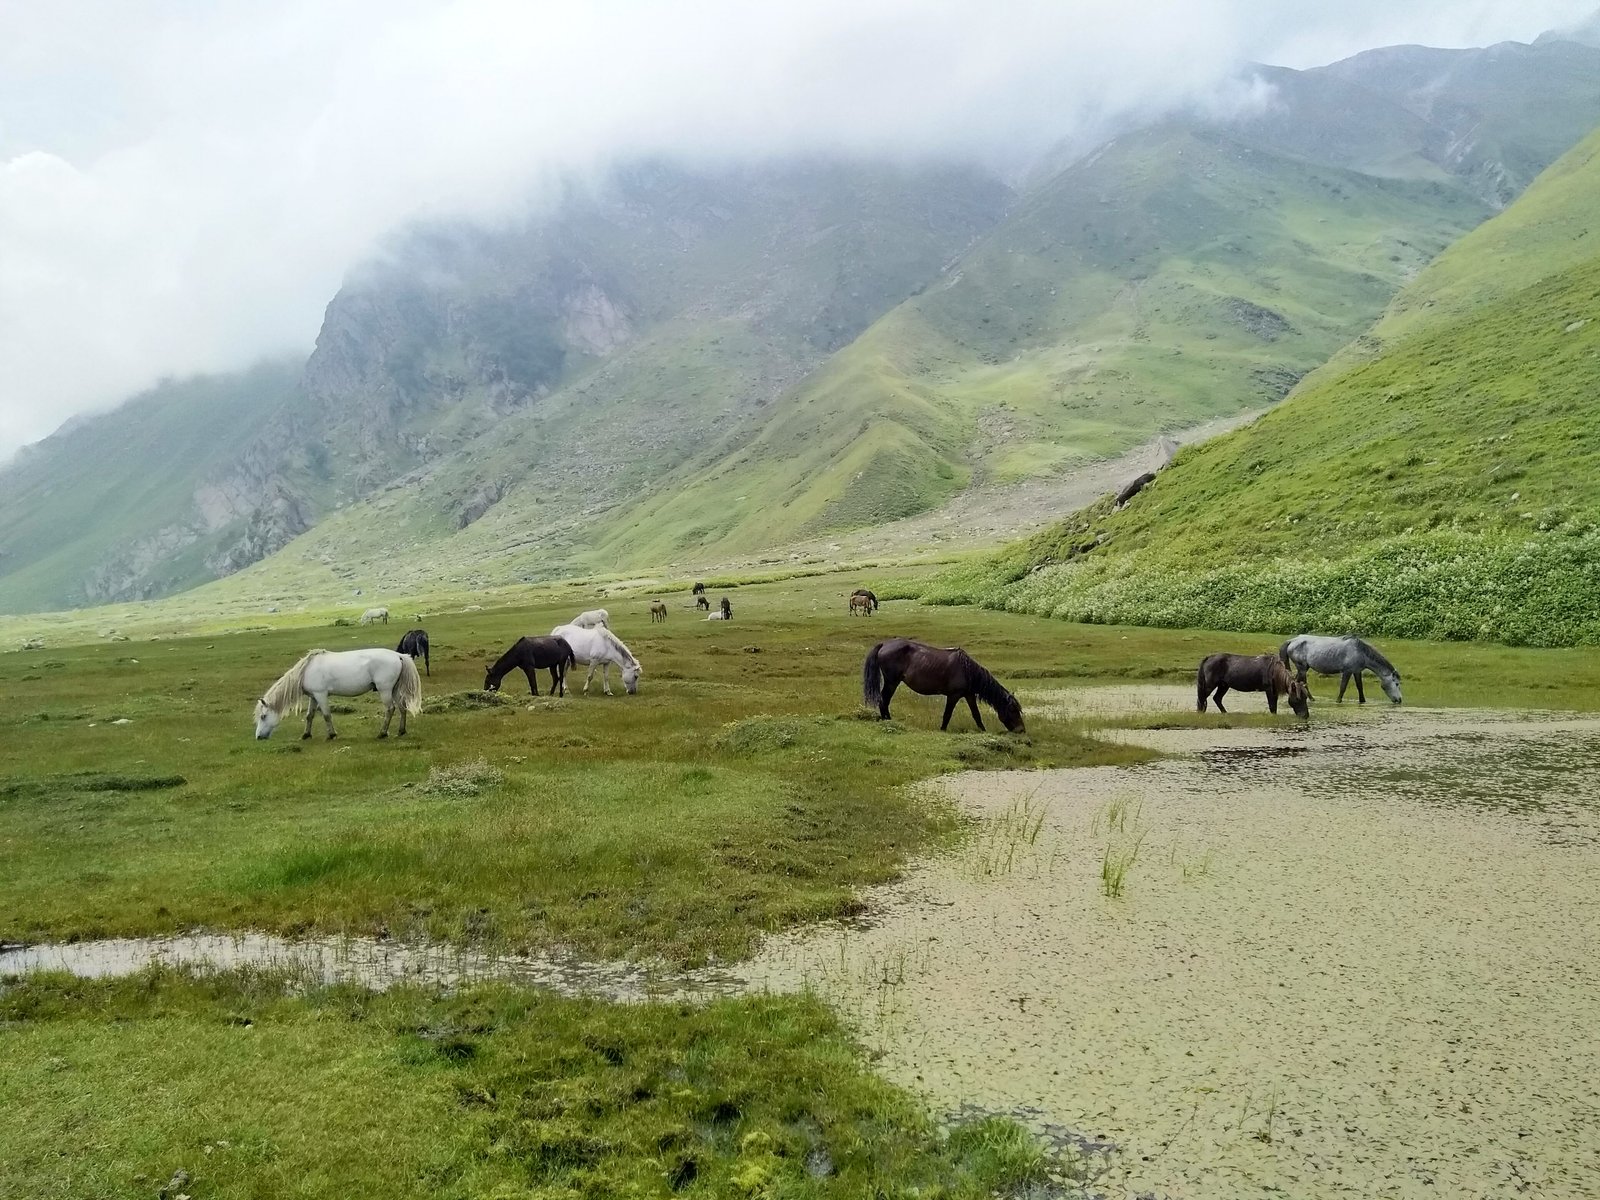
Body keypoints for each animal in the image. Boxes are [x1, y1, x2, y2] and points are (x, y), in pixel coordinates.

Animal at [252, 649, 422, 742]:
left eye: (263, 716)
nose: (258, 737)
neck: (306, 671)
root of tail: (399, 655)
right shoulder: (313, 697)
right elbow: (309, 716)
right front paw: (306, 735)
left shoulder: (321, 695)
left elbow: (326, 715)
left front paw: (331, 735)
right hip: (394, 690)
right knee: (402, 708)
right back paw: (401, 731)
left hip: (385, 690)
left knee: (390, 709)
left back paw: (382, 733)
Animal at [864, 640, 1024, 732]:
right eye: (1013, 710)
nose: (1022, 730)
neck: (967, 671)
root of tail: (884, 645)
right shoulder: (953, 695)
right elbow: (947, 714)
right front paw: (942, 729)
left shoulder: (969, 694)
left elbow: (976, 714)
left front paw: (983, 731)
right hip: (892, 682)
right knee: (884, 700)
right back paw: (888, 720)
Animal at [1273, 640, 1401, 704]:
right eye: (1397, 684)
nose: (1399, 700)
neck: (1360, 651)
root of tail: (1291, 642)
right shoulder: (1347, 671)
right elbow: (1343, 687)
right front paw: (1338, 701)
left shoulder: (1357, 671)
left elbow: (1360, 687)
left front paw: (1362, 701)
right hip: (1302, 668)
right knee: (1301, 682)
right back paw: (1311, 699)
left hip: (1302, 669)